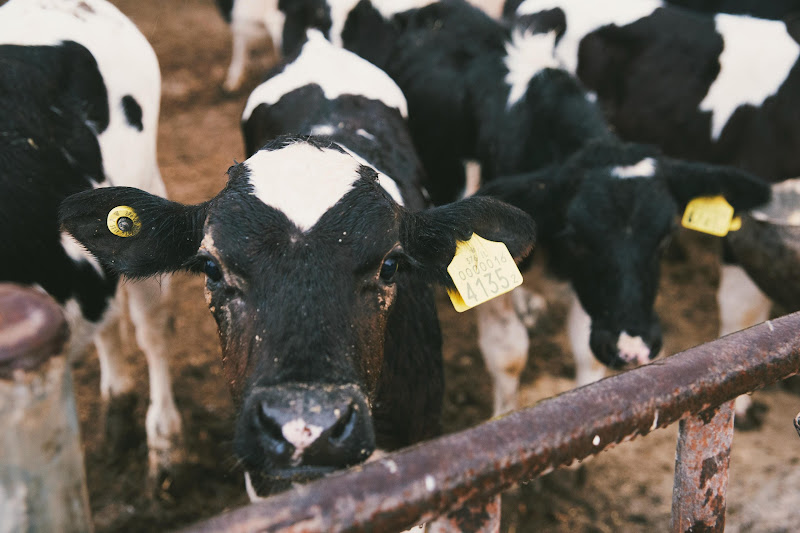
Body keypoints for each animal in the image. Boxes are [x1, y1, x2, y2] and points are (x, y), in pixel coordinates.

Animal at [274, 0, 770, 416]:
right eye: (579, 237)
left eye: (665, 236)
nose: (632, 347)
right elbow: (509, 353)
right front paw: (504, 417)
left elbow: (585, 354)